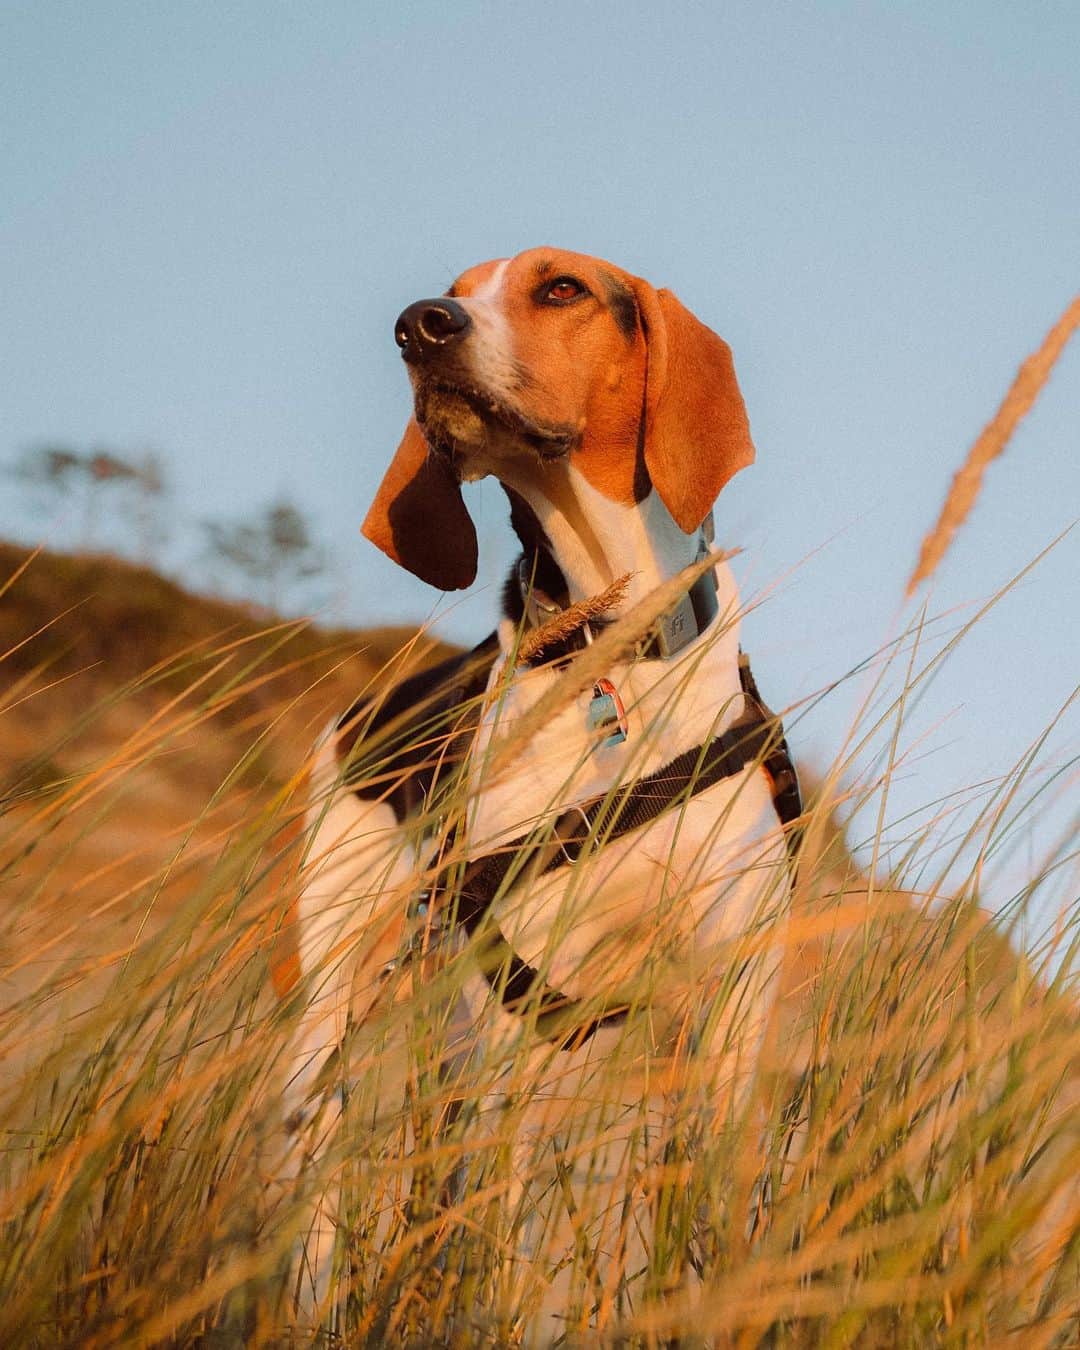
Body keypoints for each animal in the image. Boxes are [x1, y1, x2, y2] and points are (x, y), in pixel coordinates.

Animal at [270, 248, 799, 1333]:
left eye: (561, 289)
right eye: (456, 288)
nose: (420, 326)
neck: (618, 649)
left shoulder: (731, 999)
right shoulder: (511, 1008)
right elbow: (488, 1251)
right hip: (343, 988)